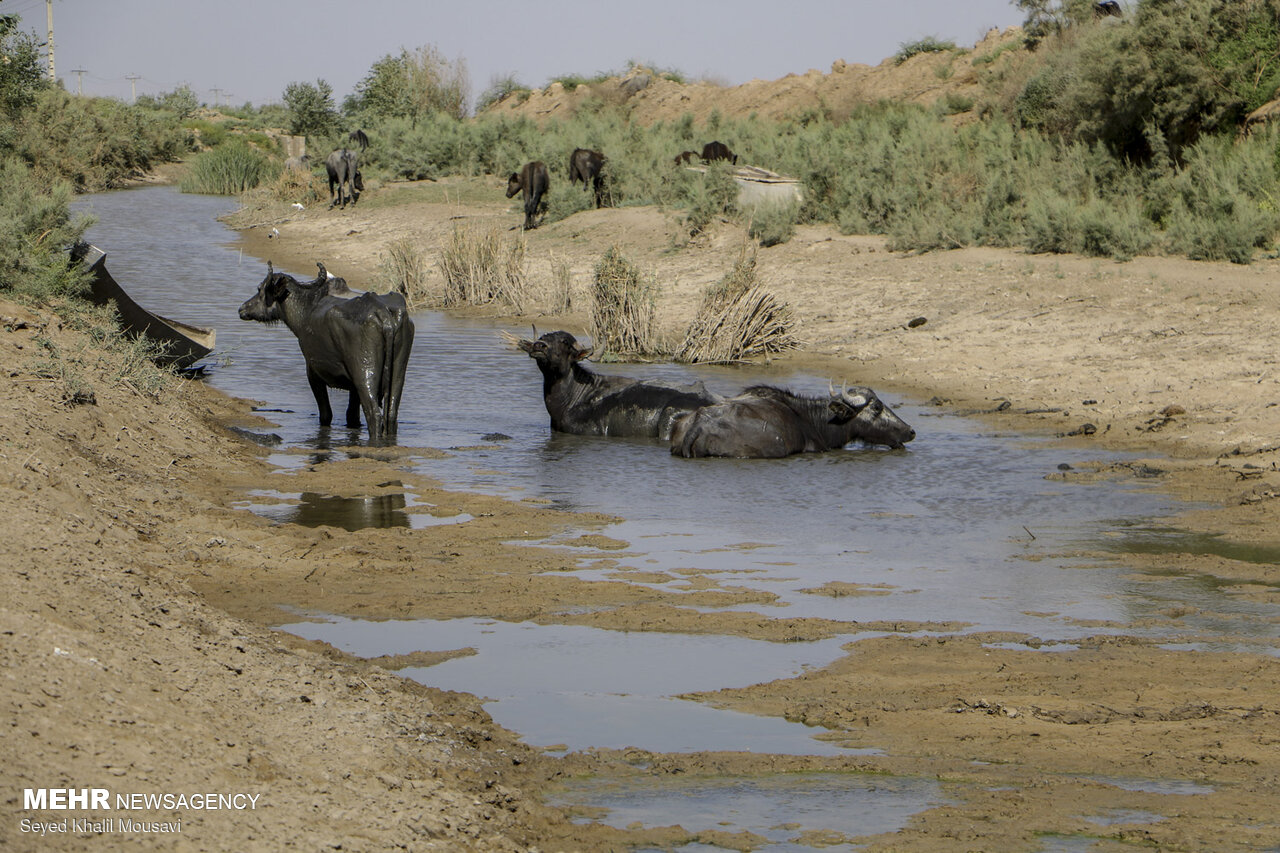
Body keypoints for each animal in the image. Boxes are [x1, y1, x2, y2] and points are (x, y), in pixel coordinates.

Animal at [240, 261, 414, 440]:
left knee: (374, 414)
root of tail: (383, 312)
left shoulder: (313, 373)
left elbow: (326, 414)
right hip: (397, 374)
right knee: (391, 414)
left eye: (259, 289)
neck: (306, 308)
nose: (242, 308)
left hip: (365, 373)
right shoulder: (353, 388)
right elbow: (352, 416)